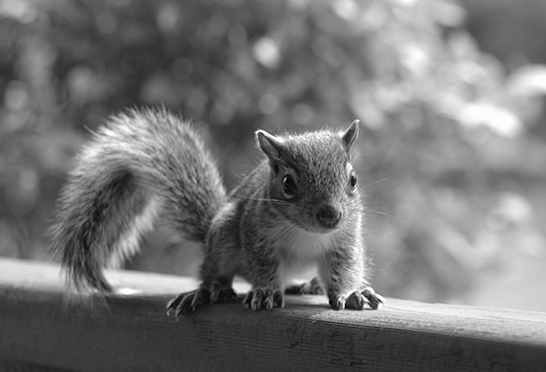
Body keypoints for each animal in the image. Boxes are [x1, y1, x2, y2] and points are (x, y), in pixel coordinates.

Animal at [51, 107, 382, 316]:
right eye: (288, 183)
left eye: (353, 180)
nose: (330, 216)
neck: (306, 232)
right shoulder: (255, 232)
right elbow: (263, 266)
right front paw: (265, 291)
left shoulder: (344, 241)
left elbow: (343, 269)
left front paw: (351, 293)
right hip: (223, 234)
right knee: (215, 273)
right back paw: (210, 291)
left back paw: (306, 285)